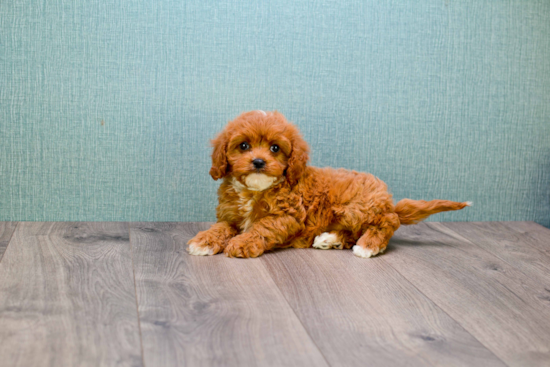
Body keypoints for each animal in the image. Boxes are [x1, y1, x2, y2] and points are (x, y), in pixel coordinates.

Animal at [189, 111, 470, 258]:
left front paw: (243, 243)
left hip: (355, 207)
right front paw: (204, 240)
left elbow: (262, 227)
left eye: (275, 148)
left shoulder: (287, 216)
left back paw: (368, 245)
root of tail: (388, 201)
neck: (255, 189)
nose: (258, 162)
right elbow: (221, 227)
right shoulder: (230, 216)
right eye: (244, 146)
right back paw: (330, 239)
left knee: (387, 222)